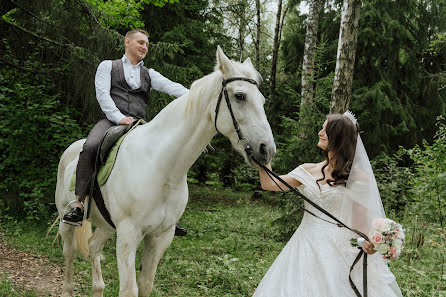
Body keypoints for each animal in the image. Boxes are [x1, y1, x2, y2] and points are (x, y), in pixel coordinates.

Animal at [55, 46, 276, 296]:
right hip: (67, 218)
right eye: (240, 96)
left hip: (106, 225)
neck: (161, 166)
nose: (267, 150)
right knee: (69, 253)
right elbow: (129, 289)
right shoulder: (128, 236)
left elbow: (145, 285)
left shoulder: (160, 237)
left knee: (93, 247)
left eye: (261, 99)